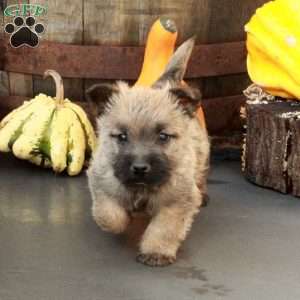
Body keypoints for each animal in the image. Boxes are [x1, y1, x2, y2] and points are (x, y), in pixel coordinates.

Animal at [85, 38, 210, 268]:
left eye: (163, 136)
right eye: (122, 136)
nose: (140, 168)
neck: (143, 188)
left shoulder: (176, 201)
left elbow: (164, 229)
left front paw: (156, 252)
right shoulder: (101, 180)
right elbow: (108, 215)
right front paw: (123, 219)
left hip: (202, 153)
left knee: (201, 174)